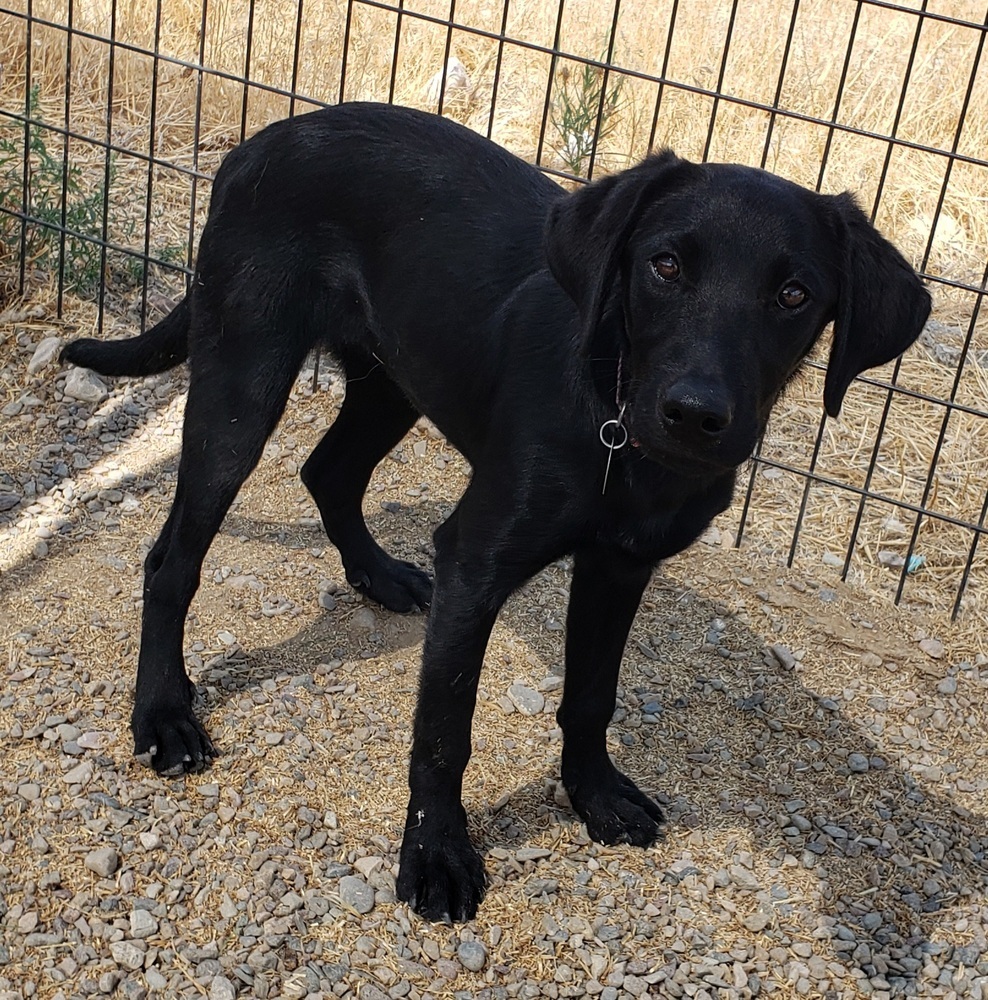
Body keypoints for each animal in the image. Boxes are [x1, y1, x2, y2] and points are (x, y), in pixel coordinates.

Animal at [63, 101, 932, 920]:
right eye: (664, 264)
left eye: (794, 294)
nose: (693, 414)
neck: (614, 417)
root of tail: (259, 141)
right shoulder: (476, 564)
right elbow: (445, 731)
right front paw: (437, 856)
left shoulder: (620, 567)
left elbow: (592, 694)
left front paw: (593, 793)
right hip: (244, 383)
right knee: (172, 558)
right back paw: (164, 713)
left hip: (396, 375)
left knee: (328, 472)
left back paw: (377, 576)